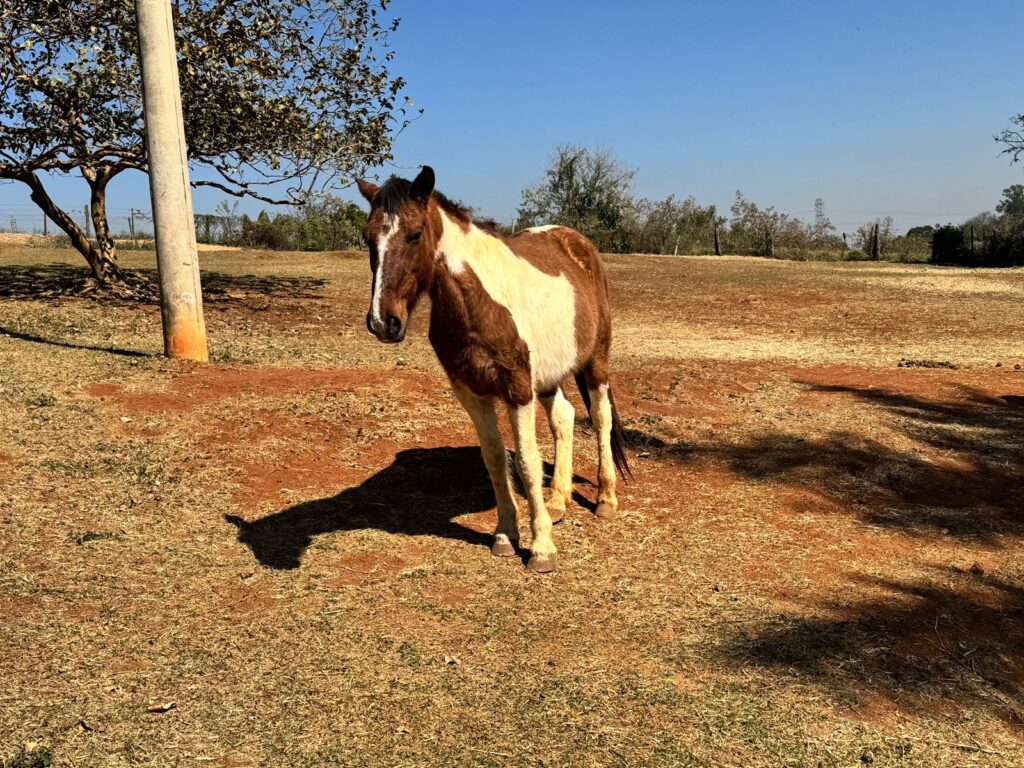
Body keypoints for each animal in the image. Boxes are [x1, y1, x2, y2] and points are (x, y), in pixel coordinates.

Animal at [356, 166, 630, 572]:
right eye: (368, 237)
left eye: (415, 234)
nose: (383, 322)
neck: (479, 302)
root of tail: (578, 243)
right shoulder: (472, 393)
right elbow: (497, 459)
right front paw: (505, 535)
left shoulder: (518, 389)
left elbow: (527, 462)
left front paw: (541, 548)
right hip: (548, 377)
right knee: (564, 418)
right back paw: (558, 501)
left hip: (595, 362)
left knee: (600, 419)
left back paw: (605, 499)